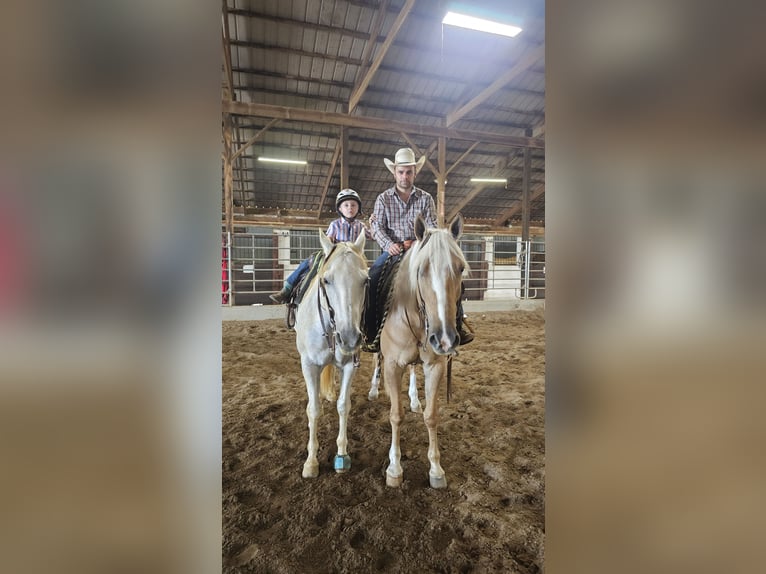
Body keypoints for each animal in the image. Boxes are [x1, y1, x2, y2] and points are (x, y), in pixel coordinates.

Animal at [294, 231, 368, 478]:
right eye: (326, 280)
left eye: (365, 280)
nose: (350, 338)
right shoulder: (309, 365)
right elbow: (314, 409)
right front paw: (311, 462)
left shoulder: (349, 365)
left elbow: (344, 406)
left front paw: (342, 456)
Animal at [376, 213, 468, 488]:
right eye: (421, 270)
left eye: (460, 268)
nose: (445, 339)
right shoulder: (392, 366)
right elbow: (396, 415)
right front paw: (394, 468)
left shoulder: (435, 366)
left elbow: (431, 416)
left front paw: (436, 469)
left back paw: (415, 400)